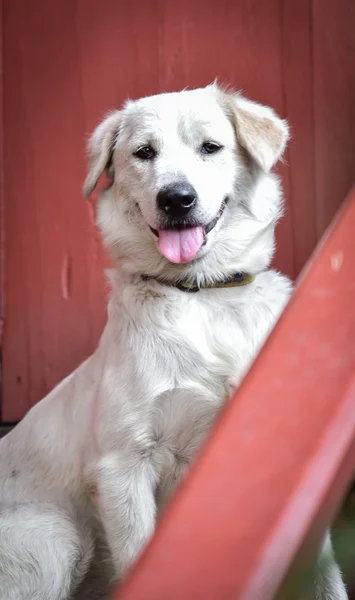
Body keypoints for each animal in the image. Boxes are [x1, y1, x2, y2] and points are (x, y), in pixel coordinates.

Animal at [0, 82, 348, 596]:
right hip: (53, 536)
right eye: (144, 152)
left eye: (211, 147)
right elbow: (140, 560)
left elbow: (324, 573)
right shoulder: (123, 466)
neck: (202, 293)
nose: (176, 198)